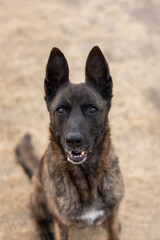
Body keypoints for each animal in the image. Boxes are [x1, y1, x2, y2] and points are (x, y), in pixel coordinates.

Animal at [15, 45, 124, 240]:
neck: (86, 177)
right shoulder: (62, 225)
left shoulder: (113, 214)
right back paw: (44, 231)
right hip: (39, 198)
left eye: (92, 109)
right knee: (35, 214)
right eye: (60, 110)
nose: (74, 141)